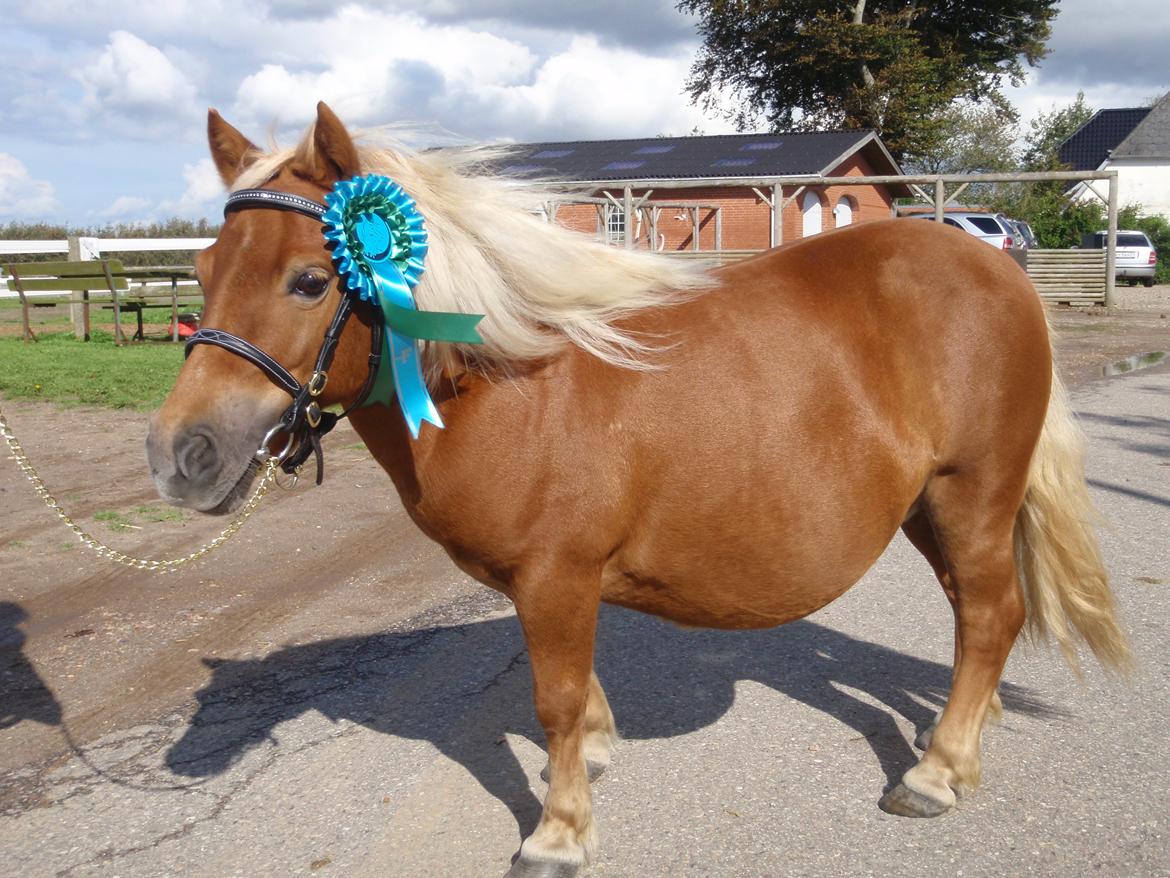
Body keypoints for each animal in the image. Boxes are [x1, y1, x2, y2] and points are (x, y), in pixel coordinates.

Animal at [147, 102, 1129, 878]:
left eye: (311, 279)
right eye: (201, 274)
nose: (179, 454)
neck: (511, 383)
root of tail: (995, 268)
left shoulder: (556, 575)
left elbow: (552, 697)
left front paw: (558, 834)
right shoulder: (551, 583)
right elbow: (573, 692)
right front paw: (589, 758)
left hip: (973, 491)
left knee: (993, 611)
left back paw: (936, 770)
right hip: (928, 506)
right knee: (975, 609)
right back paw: (959, 739)